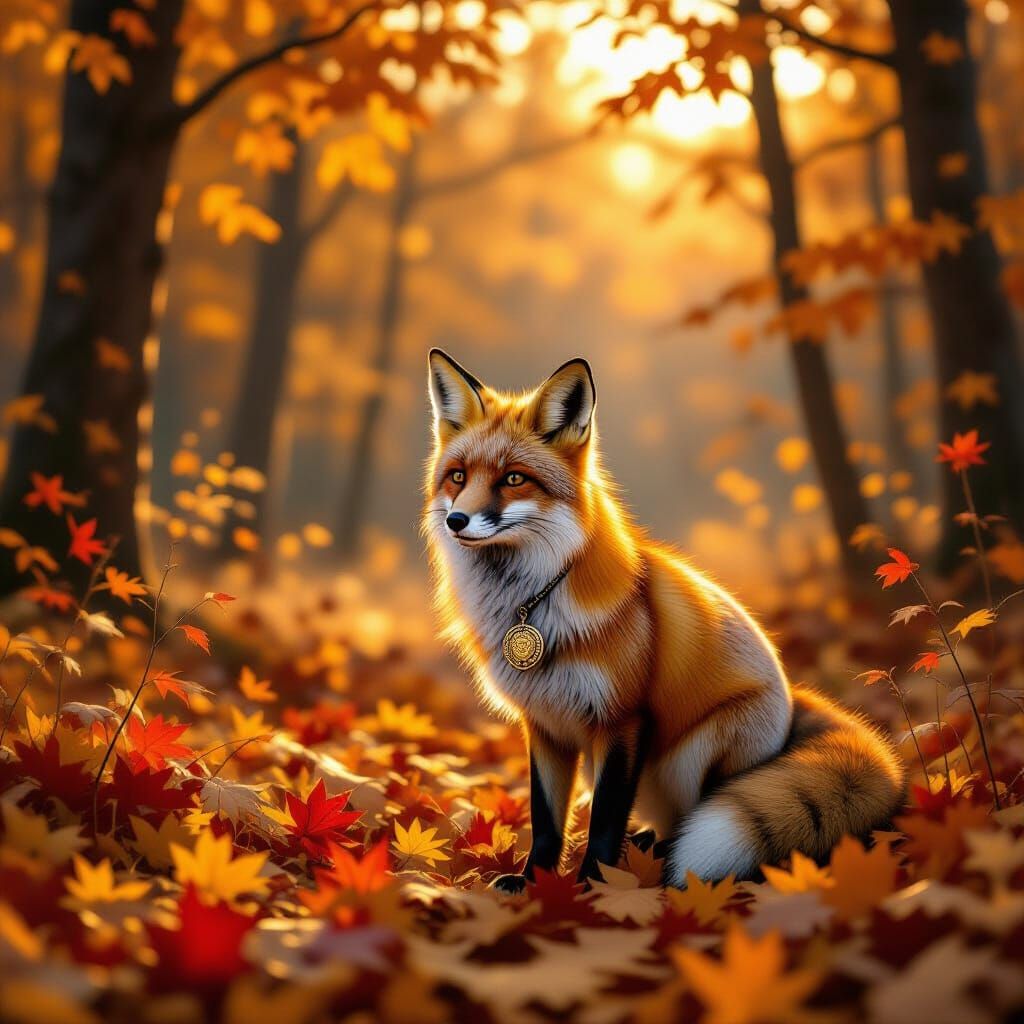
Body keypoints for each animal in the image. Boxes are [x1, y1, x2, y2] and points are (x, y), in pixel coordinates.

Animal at [422, 349, 907, 892]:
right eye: (458, 477)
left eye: (513, 479)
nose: (456, 521)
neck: (529, 605)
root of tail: (792, 703)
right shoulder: (545, 725)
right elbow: (546, 820)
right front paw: (533, 882)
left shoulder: (622, 720)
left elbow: (604, 821)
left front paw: (595, 886)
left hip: (699, 751)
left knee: (694, 817)